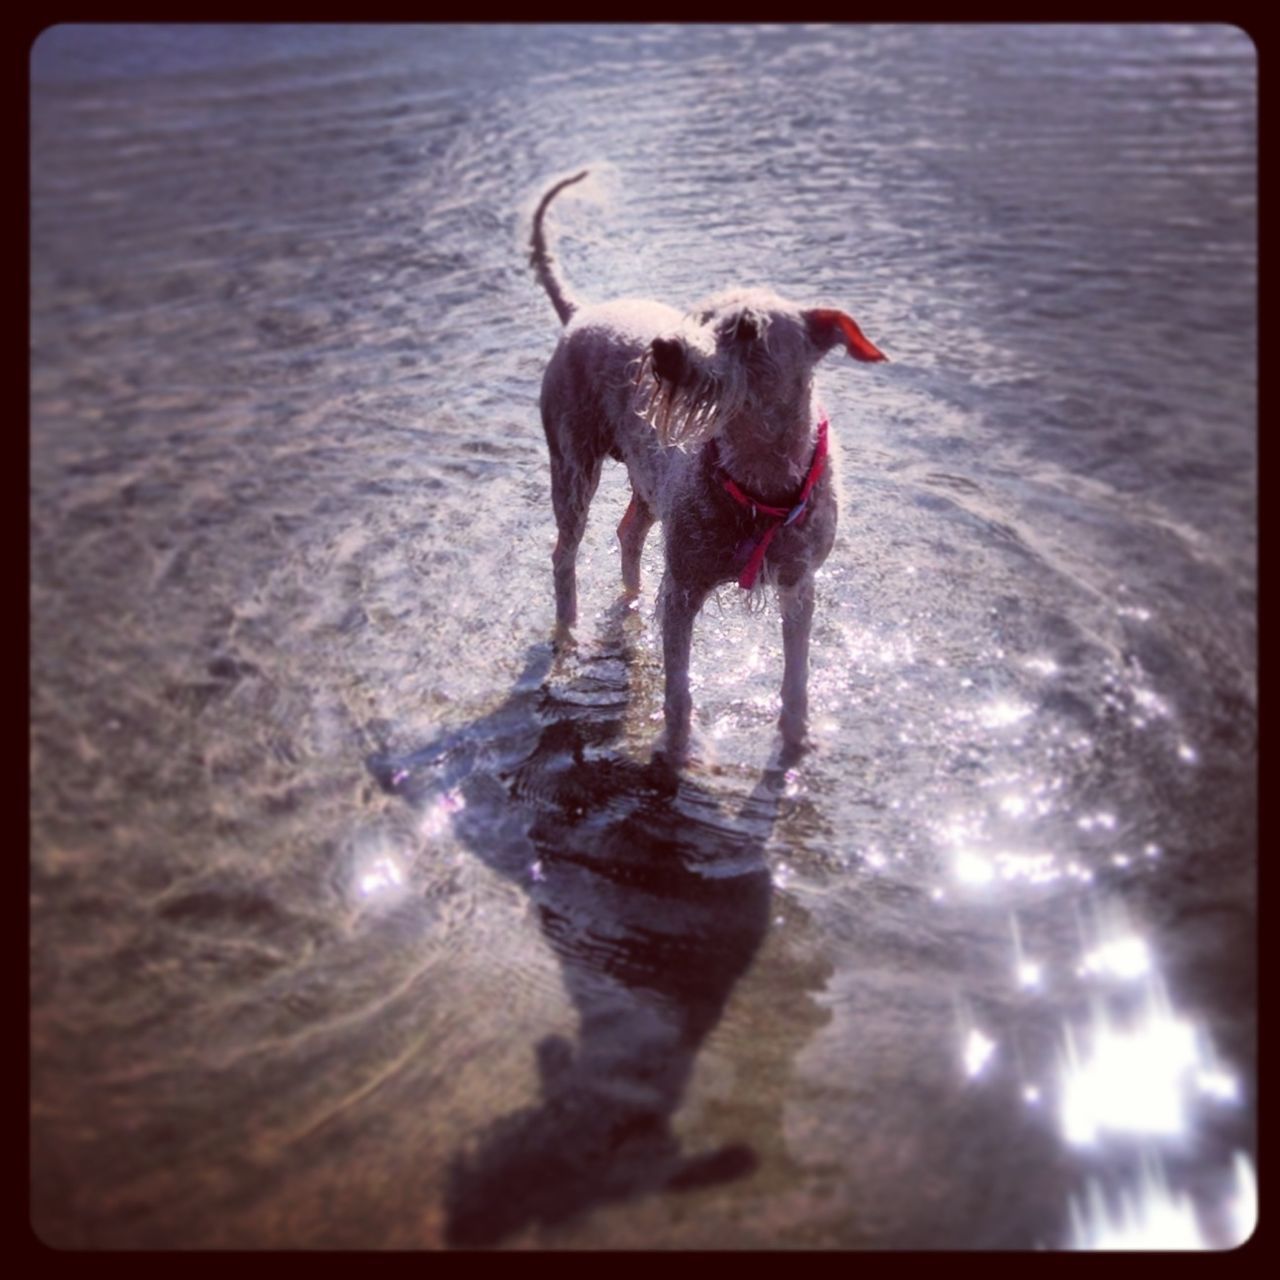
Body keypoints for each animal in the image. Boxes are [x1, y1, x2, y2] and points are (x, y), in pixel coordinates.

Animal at [529, 167, 890, 757]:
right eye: (699, 316)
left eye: (748, 329)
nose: (663, 348)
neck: (760, 488)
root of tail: (581, 314)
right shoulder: (682, 586)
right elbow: (678, 690)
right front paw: (679, 752)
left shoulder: (799, 586)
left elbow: (796, 681)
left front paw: (796, 744)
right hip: (572, 462)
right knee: (564, 554)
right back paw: (568, 635)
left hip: (647, 484)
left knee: (629, 532)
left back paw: (627, 605)